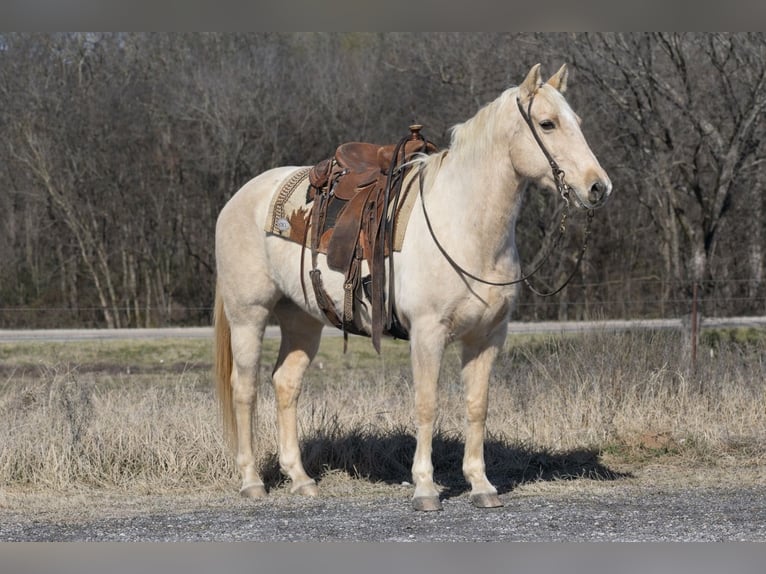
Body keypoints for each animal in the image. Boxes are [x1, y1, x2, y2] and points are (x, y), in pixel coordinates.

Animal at [213, 63, 612, 511]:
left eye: (577, 121)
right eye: (547, 123)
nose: (598, 187)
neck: (464, 226)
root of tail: (240, 198)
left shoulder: (488, 337)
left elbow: (477, 406)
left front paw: (481, 485)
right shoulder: (427, 332)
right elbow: (427, 405)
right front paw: (425, 487)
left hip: (302, 320)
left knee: (286, 383)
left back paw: (300, 479)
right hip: (249, 315)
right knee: (244, 389)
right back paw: (251, 481)